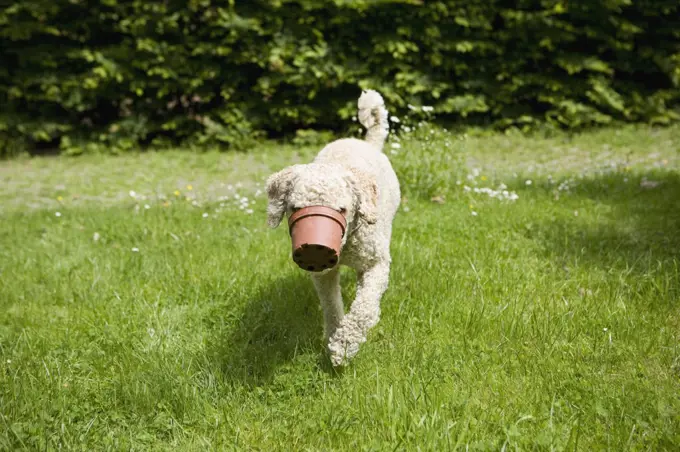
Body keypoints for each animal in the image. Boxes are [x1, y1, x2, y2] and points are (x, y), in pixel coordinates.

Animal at [266, 90, 402, 366]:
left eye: (342, 209)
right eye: (295, 208)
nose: (313, 248)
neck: (346, 243)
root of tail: (367, 143)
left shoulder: (377, 263)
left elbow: (362, 308)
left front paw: (344, 345)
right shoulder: (323, 274)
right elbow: (331, 305)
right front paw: (333, 336)